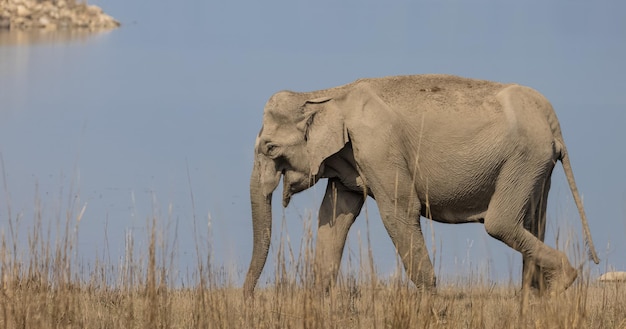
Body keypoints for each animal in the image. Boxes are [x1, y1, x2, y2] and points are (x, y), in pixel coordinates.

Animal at [241, 74, 596, 298]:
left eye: (270, 148)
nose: (248, 299)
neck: (328, 95)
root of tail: (552, 119)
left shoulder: (379, 147)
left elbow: (398, 212)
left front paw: (430, 301)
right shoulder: (350, 158)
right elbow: (334, 217)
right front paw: (318, 299)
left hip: (524, 157)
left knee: (500, 223)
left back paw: (561, 283)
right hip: (537, 165)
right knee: (534, 221)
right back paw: (534, 298)